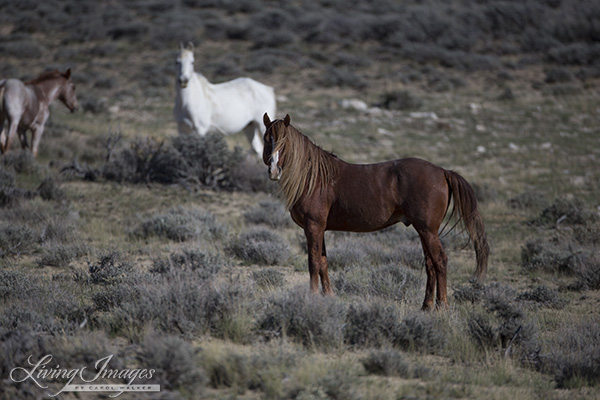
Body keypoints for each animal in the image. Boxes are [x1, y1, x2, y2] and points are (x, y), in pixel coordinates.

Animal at [262, 114, 488, 310]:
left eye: (284, 143)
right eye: (266, 140)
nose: (273, 171)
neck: (315, 179)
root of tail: (442, 171)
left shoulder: (313, 227)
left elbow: (313, 262)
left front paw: (313, 298)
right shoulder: (320, 229)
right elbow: (323, 262)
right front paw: (329, 297)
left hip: (428, 230)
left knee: (440, 261)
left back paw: (442, 307)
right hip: (425, 231)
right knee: (430, 264)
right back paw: (426, 306)